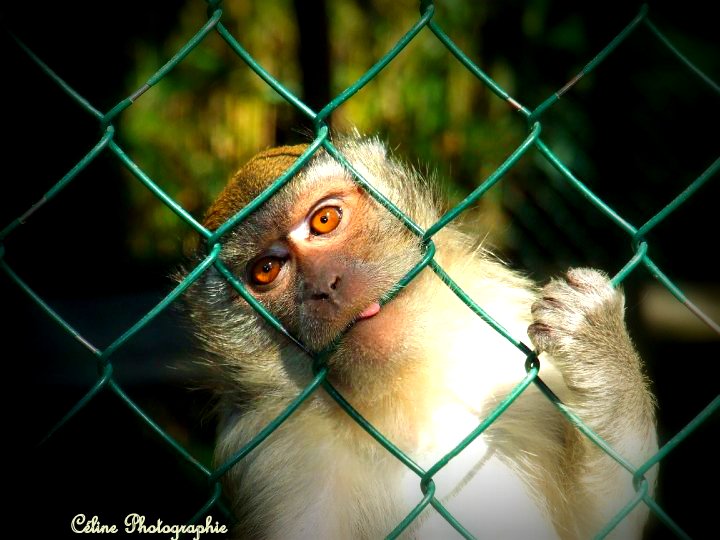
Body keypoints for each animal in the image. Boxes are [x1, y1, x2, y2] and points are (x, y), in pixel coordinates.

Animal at [181, 132, 660, 540]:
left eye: (325, 219)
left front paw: (597, 344)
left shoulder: (502, 329)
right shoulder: (276, 456)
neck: (405, 389)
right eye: (265, 270)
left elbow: (601, 525)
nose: (325, 285)